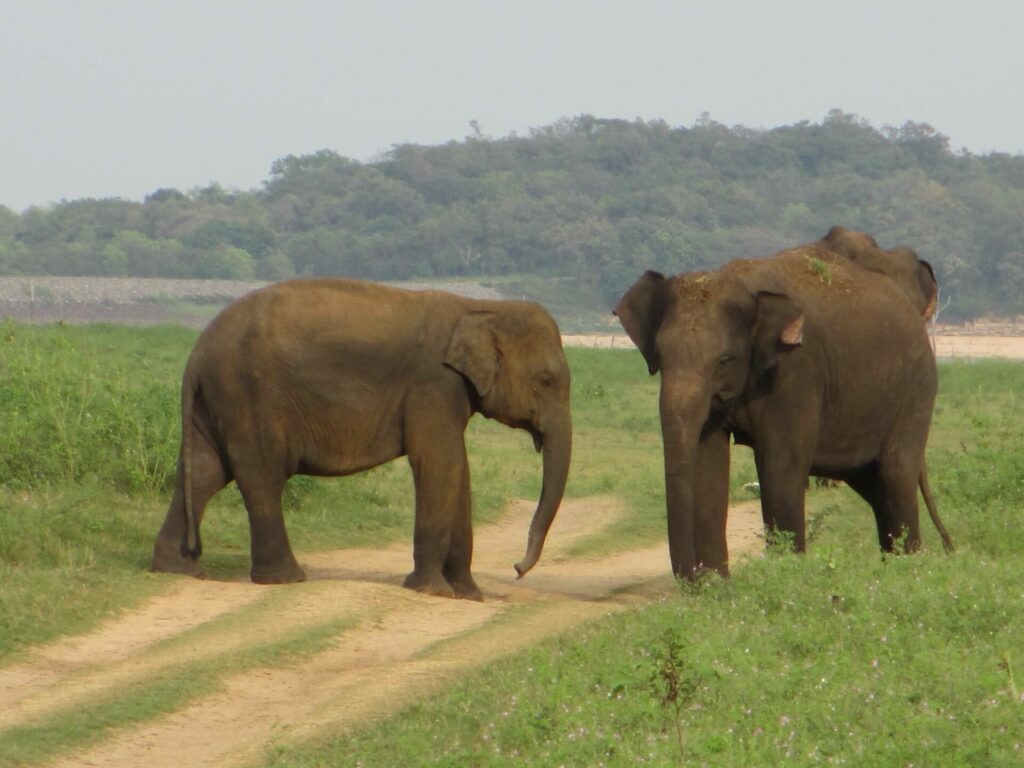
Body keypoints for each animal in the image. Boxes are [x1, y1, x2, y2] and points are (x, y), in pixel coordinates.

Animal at [151, 280, 573, 606]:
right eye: (547, 380)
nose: (517, 569)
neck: (480, 309)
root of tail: (197, 352)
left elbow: (457, 467)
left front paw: (469, 595)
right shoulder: (432, 384)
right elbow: (438, 461)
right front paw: (432, 591)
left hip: (217, 400)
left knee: (204, 472)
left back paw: (179, 568)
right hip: (247, 397)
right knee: (261, 477)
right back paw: (286, 578)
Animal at [610, 249, 954, 581]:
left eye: (724, 360)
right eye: (660, 355)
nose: (692, 578)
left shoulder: (796, 371)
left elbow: (779, 467)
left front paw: (786, 574)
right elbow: (708, 466)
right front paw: (715, 588)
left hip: (916, 392)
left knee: (896, 475)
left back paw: (907, 567)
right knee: (876, 487)